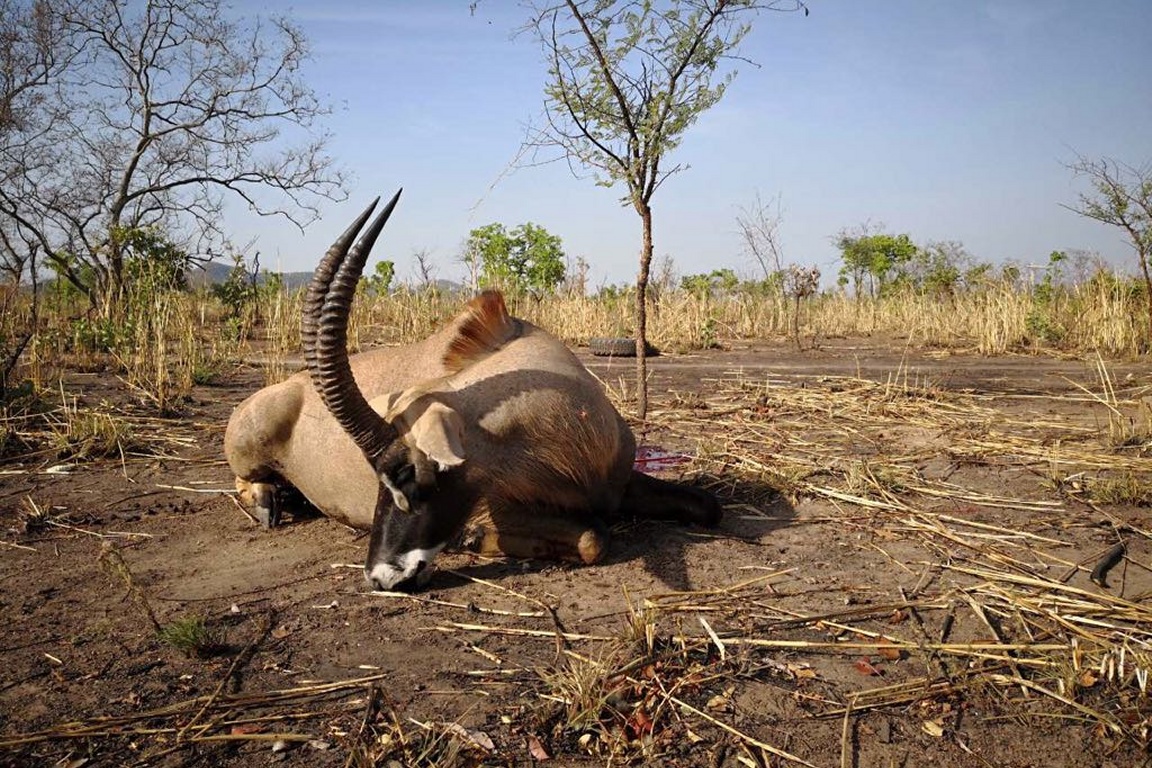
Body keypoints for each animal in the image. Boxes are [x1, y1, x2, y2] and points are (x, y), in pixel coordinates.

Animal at [222, 191, 718, 589]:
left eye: (410, 473)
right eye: (379, 476)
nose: (380, 577)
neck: (572, 430)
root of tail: (290, 385)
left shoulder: (620, 484)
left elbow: (707, 505)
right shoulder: (498, 505)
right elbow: (594, 537)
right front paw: (476, 536)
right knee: (244, 478)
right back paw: (267, 502)